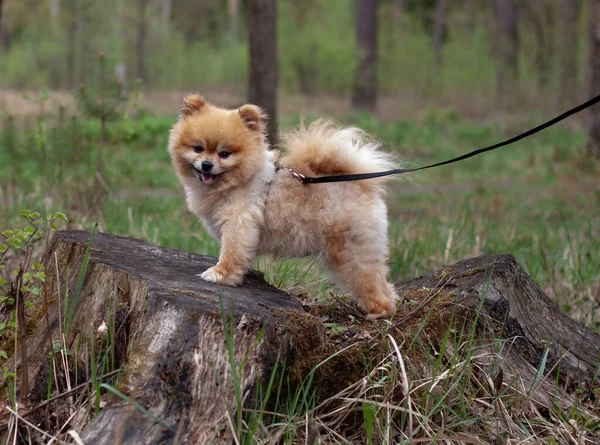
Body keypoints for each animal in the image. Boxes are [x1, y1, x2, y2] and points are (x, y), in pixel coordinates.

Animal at [168, 94, 398, 320]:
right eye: (198, 148)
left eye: (224, 154)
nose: (206, 165)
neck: (238, 181)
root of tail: (361, 184)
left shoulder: (239, 222)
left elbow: (232, 251)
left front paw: (220, 274)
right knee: (384, 282)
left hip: (349, 251)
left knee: (368, 281)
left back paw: (378, 312)